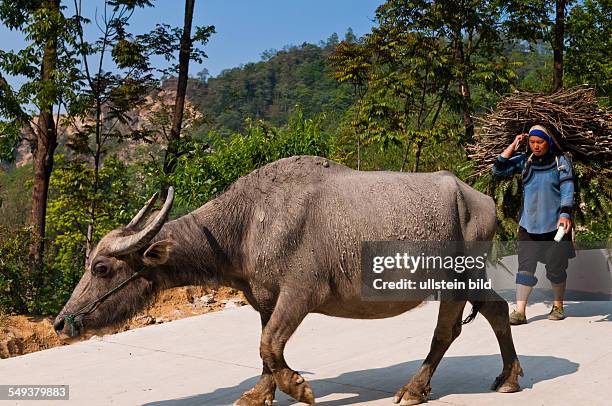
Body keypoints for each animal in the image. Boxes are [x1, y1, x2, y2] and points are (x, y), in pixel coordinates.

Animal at [53, 156, 520, 406]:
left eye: (101, 268)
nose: (60, 323)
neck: (245, 226)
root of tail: (481, 199)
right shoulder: (265, 299)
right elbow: (264, 349)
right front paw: (259, 393)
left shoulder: (300, 294)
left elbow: (270, 345)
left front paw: (298, 387)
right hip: (469, 278)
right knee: (496, 310)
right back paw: (509, 376)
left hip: (456, 279)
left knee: (445, 332)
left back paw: (415, 388)